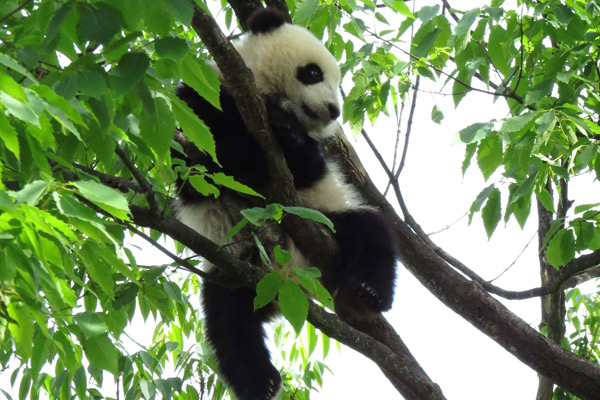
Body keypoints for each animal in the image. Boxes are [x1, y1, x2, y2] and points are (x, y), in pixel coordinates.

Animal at [173, 7, 398, 400]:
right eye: (313, 73)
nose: (334, 110)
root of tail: (287, 282)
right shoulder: (202, 98)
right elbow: (202, 161)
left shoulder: (313, 164)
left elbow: (305, 167)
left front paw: (285, 129)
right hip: (234, 261)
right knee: (228, 321)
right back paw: (259, 382)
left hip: (325, 221)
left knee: (372, 234)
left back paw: (367, 293)